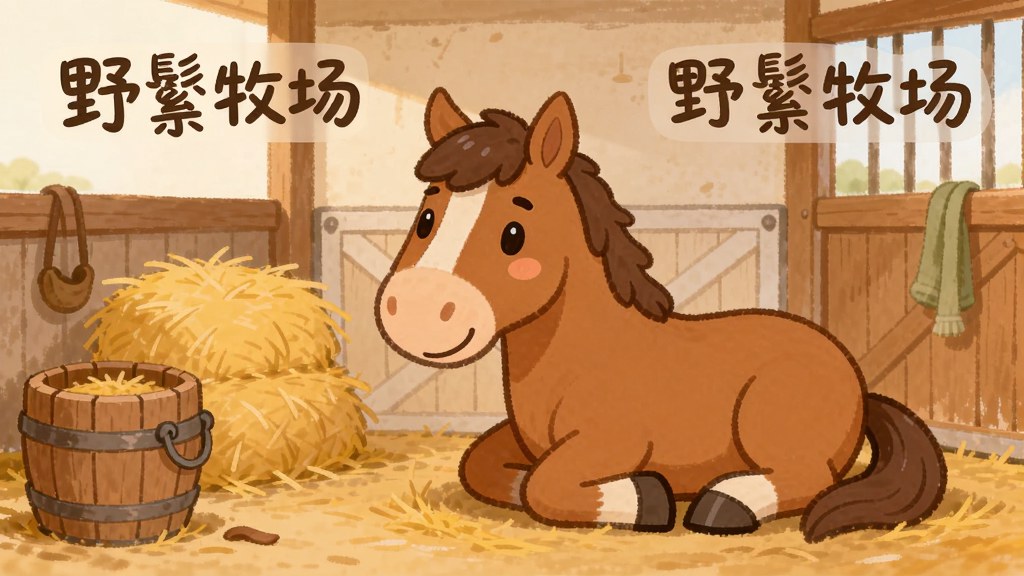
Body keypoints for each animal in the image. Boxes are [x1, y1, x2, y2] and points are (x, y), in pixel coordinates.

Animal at [374, 87, 947, 543]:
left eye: (513, 233)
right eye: (426, 217)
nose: (419, 312)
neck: (580, 355)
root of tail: (855, 377)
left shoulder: (611, 441)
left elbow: (542, 485)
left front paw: (647, 498)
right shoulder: (517, 440)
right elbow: (487, 466)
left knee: (807, 476)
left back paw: (724, 504)